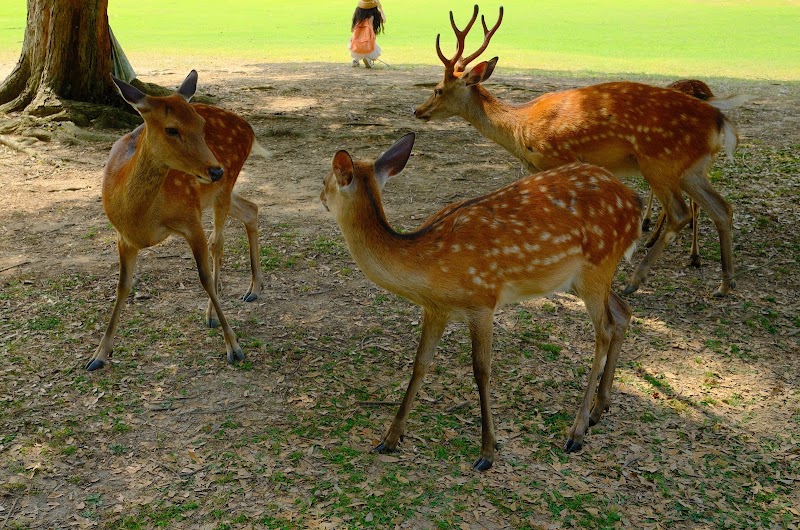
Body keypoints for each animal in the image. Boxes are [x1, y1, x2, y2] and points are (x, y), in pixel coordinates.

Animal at [86, 70, 265, 371]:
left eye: (201, 124)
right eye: (171, 129)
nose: (215, 170)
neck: (141, 220)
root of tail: (249, 129)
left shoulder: (190, 220)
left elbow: (204, 277)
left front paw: (233, 346)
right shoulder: (122, 236)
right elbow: (122, 286)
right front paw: (99, 354)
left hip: (223, 188)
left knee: (219, 240)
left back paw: (217, 310)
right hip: (217, 192)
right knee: (251, 209)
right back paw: (253, 289)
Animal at [320, 132, 642, 470]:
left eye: (325, 179)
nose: (320, 197)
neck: (427, 263)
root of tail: (635, 203)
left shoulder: (482, 300)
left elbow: (481, 370)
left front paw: (487, 451)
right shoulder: (435, 309)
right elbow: (420, 364)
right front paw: (390, 438)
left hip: (596, 265)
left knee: (604, 329)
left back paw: (576, 432)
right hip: (581, 277)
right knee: (623, 311)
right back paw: (598, 410)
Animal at [414, 5, 741, 297]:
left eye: (438, 89)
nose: (418, 110)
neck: (521, 129)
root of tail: (719, 121)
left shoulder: (559, 158)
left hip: (659, 161)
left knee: (681, 212)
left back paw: (634, 281)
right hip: (692, 168)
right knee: (722, 208)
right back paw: (724, 285)